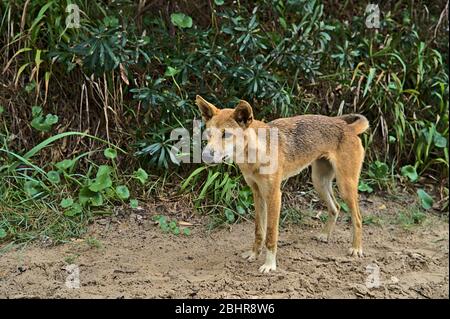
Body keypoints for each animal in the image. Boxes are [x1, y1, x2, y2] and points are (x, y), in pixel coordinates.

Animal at [196, 95, 370, 276]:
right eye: (208, 134)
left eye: (227, 134)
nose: (205, 155)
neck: (255, 153)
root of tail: (348, 127)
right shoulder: (257, 194)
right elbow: (259, 231)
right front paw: (254, 254)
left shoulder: (274, 196)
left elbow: (271, 235)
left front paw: (269, 265)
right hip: (319, 182)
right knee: (336, 207)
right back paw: (325, 235)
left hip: (345, 186)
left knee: (357, 217)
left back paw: (356, 248)